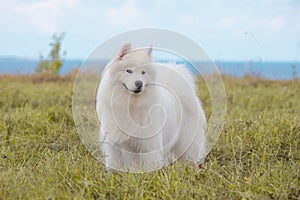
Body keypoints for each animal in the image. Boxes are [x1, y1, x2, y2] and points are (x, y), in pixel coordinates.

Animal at [96, 43, 206, 172]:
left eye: (143, 72)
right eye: (129, 71)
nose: (139, 83)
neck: (131, 104)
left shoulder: (148, 143)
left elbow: (150, 163)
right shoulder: (115, 143)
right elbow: (115, 163)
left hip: (187, 139)